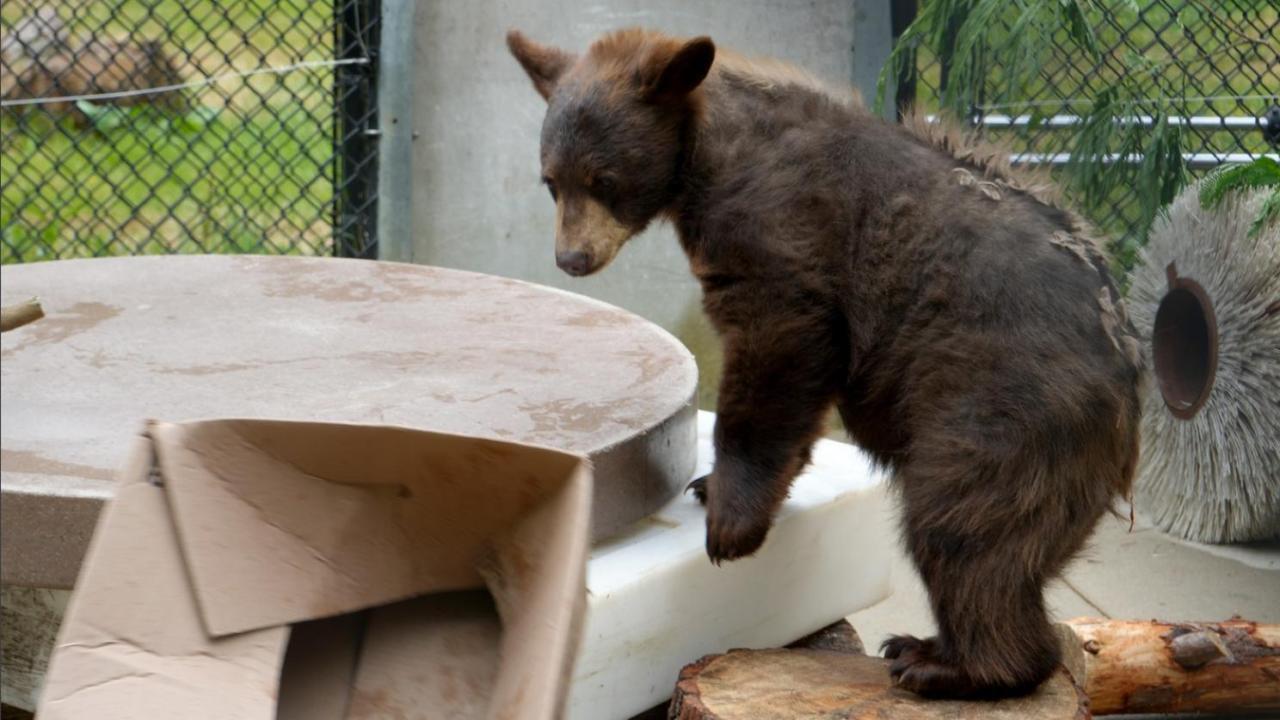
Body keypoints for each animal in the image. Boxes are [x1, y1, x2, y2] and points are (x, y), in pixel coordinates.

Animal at [508, 27, 1142, 699]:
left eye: (605, 179)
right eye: (551, 181)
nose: (572, 258)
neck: (707, 151)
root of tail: (1131, 387)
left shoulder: (781, 223)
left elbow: (779, 344)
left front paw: (729, 520)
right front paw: (713, 485)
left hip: (1003, 400)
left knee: (964, 523)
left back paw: (942, 660)